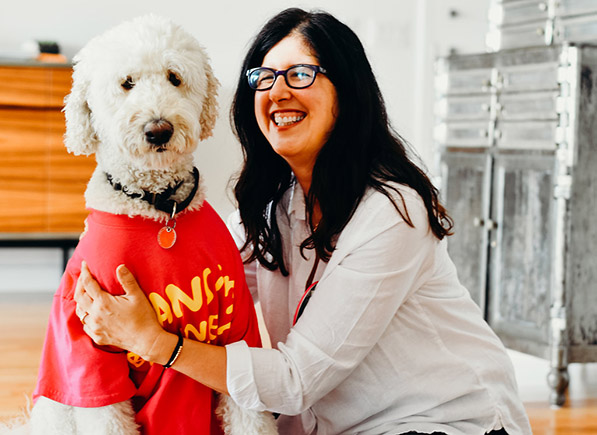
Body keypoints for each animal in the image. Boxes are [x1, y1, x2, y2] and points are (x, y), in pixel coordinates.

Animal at [2, 13, 278, 435]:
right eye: (127, 83)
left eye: (174, 77)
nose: (159, 129)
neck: (158, 210)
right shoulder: (89, 347)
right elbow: (106, 410)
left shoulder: (236, 327)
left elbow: (248, 405)